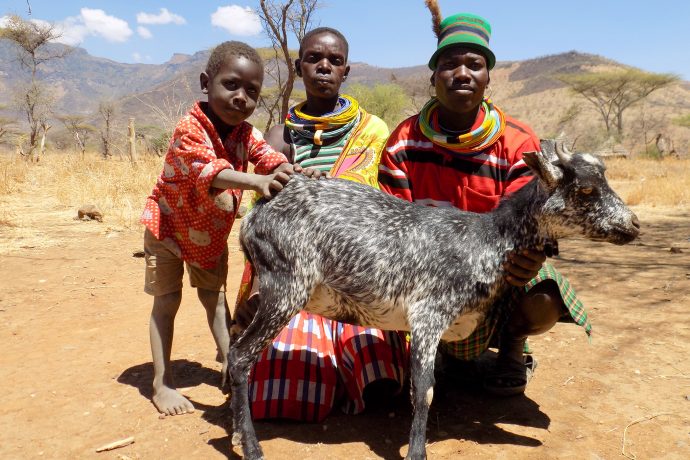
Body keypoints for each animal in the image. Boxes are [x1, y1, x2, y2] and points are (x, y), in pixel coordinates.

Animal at [227, 141, 640, 460]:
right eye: (585, 190)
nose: (633, 225)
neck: (484, 241)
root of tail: (255, 215)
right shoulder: (428, 315)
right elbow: (424, 390)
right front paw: (416, 452)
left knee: (234, 346)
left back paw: (234, 428)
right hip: (287, 286)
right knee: (241, 356)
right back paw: (251, 447)